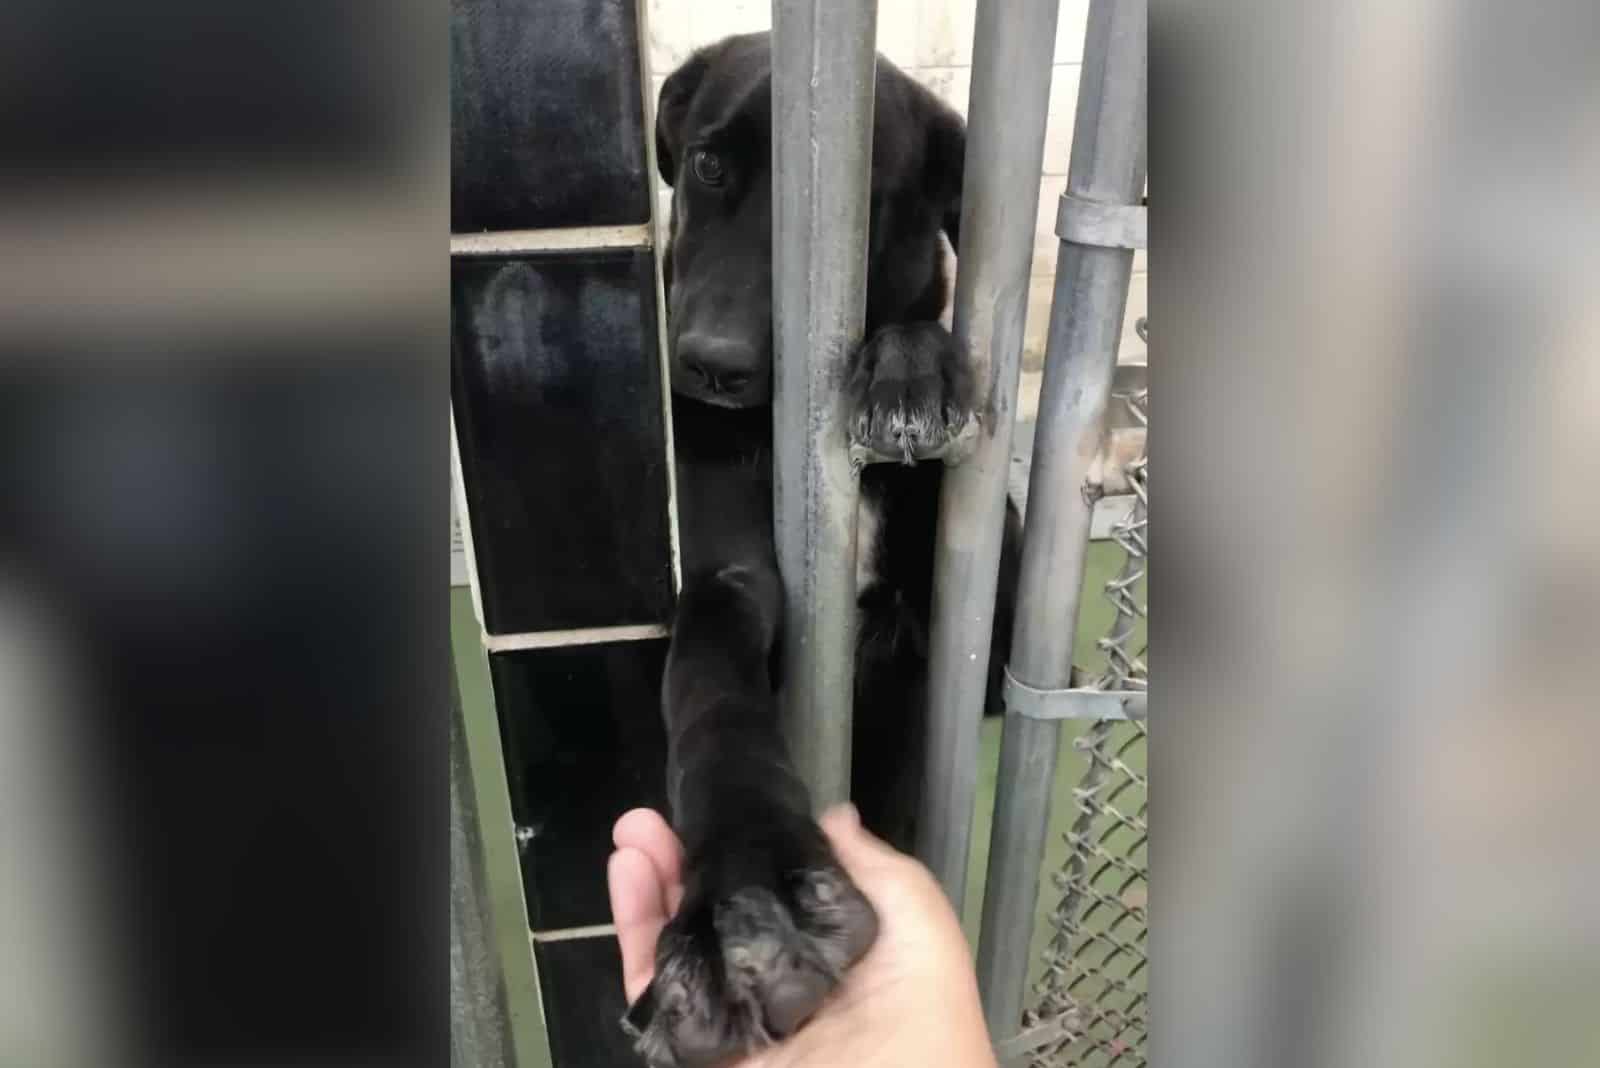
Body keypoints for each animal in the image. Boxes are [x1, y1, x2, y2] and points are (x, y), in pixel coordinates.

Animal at [627, 33, 1024, 1068]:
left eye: (864, 207)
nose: (711, 364)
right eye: (709, 165)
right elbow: (713, 698)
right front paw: (742, 897)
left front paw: (909, 364)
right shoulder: (732, 581)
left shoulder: (984, 632)